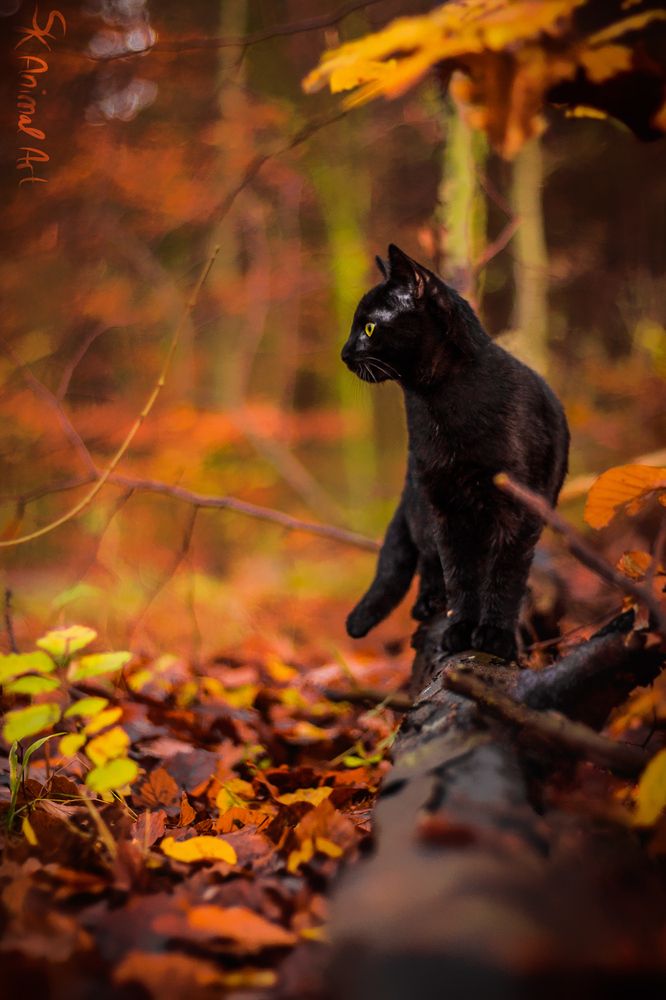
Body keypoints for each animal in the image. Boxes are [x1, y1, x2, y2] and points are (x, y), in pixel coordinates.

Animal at [342, 244, 564, 664]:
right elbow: (459, 572)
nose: (344, 353)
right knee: (430, 559)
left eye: (369, 328)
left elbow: (505, 574)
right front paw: (459, 629)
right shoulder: (444, 504)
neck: (439, 404)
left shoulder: (518, 507)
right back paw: (429, 602)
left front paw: (494, 636)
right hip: (422, 500)